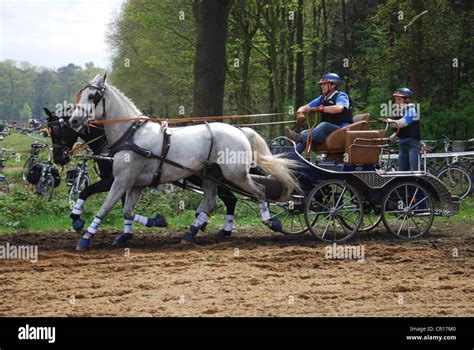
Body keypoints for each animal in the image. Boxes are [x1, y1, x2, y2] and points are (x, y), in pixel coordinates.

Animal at [68, 74, 298, 250]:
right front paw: (156, 221)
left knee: (259, 190)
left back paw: (270, 221)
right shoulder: (134, 184)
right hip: (211, 176)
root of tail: (240, 130)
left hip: (235, 175)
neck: (131, 135)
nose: (74, 121)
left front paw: (85, 237)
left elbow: (104, 208)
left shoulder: (121, 180)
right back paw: (191, 233)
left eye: (92, 96)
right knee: (211, 202)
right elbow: (127, 211)